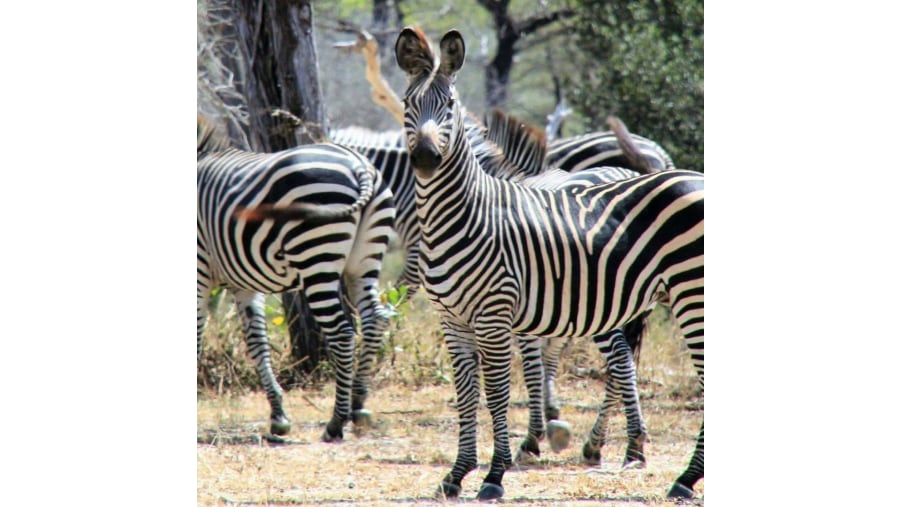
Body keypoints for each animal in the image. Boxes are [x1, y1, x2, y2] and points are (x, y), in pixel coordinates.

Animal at [199, 117, 396, 442]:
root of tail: (359, 166)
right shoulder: (243, 285)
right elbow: (257, 342)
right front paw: (278, 415)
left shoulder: (200, 269)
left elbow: (196, 337)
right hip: (365, 259)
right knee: (374, 319)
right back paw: (358, 405)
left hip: (317, 256)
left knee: (342, 332)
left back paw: (336, 421)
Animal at [394, 29, 704, 502]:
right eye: (409, 104)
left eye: (449, 105)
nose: (427, 157)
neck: (467, 213)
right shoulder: (454, 320)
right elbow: (466, 395)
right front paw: (456, 474)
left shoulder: (495, 314)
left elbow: (499, 392)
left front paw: (495, 474)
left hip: (690, 294)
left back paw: (682, 477)